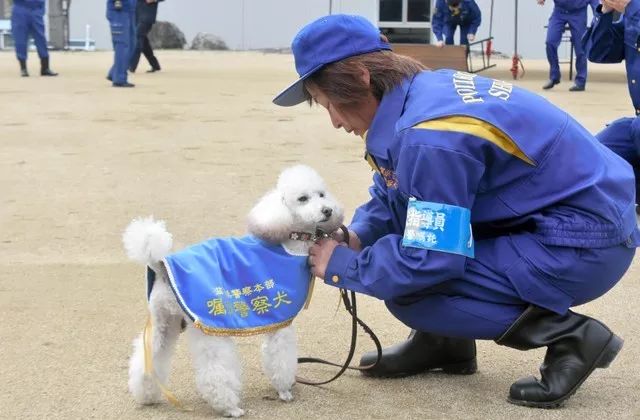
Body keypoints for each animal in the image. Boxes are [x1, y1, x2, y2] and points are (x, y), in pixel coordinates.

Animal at [125, 165, 344, 416]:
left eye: (322, 194)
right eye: (303, 199)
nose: (327, 210)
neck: (292, 242)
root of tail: (160, 265)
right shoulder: (281, 325)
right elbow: (281, 360)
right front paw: (284, 391)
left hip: (163, 322)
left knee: (148, 357)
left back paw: (147, 396)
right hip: (210, 326)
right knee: (215, 372)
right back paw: (230, 407)